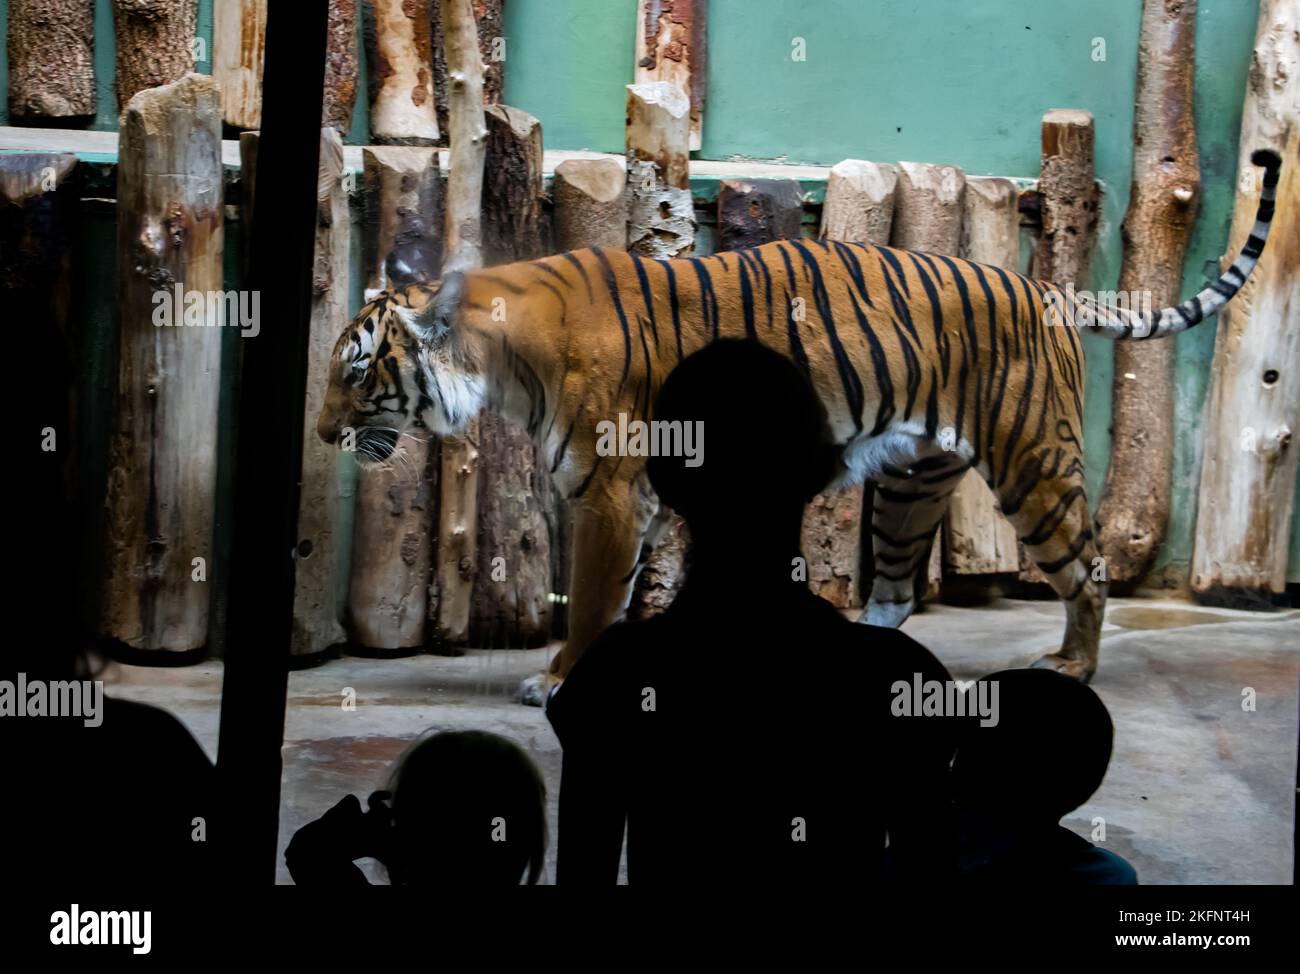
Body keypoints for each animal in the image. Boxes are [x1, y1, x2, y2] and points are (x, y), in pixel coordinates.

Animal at [317, 148, 1279, 702]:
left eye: (356, 372)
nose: (325, 435)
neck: (501, 363)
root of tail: (1045, 287)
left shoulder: (611, 496)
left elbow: (592, 600)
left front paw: (556, 680)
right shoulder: (634, 500)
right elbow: (627, 594)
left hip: (1033, 465)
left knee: (1087, 569)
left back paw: (1072, 666)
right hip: (910, 484)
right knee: (894, 591)